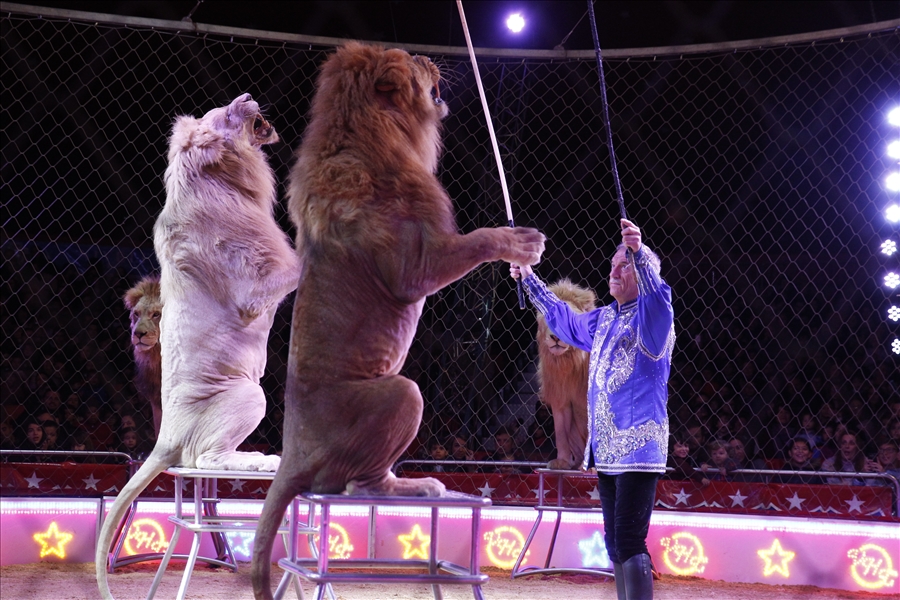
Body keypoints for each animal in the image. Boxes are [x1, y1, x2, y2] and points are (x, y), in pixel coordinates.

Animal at [96, 94, 300, 600]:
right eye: (224, 112)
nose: (246, 96)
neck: (221, 179)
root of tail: (164, 437)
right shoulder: (255, 290)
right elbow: (301, 261)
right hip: (250, 394)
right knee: (205, 458)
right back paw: (262, 461)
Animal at [250, 42, 545, 599]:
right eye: (409, 59)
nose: (431, 58)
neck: (372, 132)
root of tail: (291, 453)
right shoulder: (414, 268)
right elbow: (476, 241)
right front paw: (520, 243)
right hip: (402, 392)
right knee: (357, 485)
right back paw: (418, 484)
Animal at [536, 279, 596, 470]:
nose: (555, 337)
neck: (569, 363)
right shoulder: (560, 397)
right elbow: (561, 432)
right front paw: (561, 461)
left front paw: (590, 467)